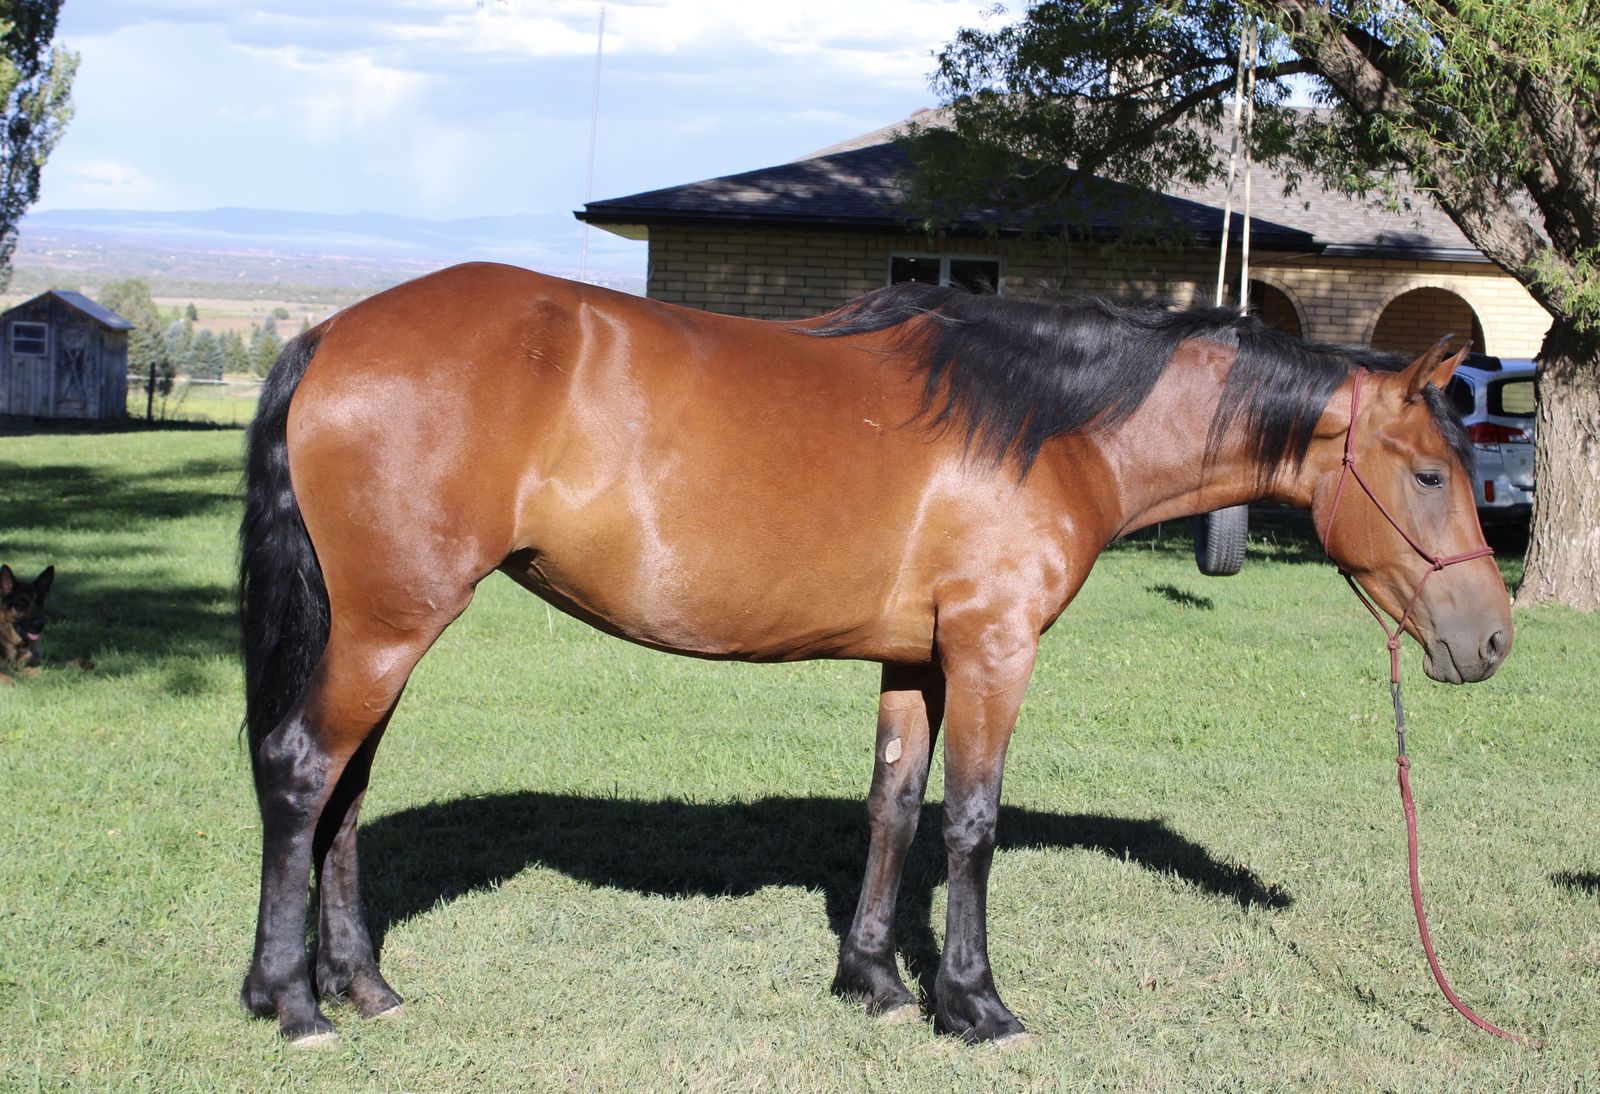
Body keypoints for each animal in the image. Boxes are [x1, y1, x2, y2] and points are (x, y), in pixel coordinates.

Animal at [237, 263, 1511, 1046]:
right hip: (389, 626)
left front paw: (874, 981)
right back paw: (291, 1002)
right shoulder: (993, 650)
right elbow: (971, 822)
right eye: (1427, 472)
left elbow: (893, 805)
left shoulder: (919, 659)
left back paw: (365, 984)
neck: (1050, 423)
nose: (1489, 636)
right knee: (304, 774)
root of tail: (331, 331)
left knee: (345, 794)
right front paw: (976, 1003)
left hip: (385, 630)